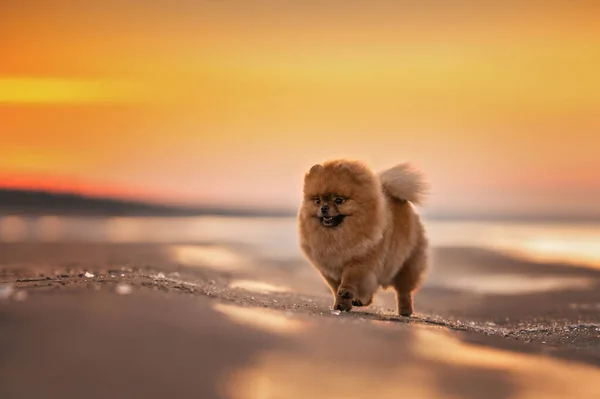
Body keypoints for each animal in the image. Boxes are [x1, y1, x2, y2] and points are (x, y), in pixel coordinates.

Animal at [298, 160, 428, 318]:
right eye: (317, 200)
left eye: (339, 200)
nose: (323, 208)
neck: (336, 235)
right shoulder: (330, 269)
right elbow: (336, 289)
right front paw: (341, 305)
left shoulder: (360, 261)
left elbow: (351, 278)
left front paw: (346, 292)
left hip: (405, 266)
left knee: (404, 291)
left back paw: (405, 311)